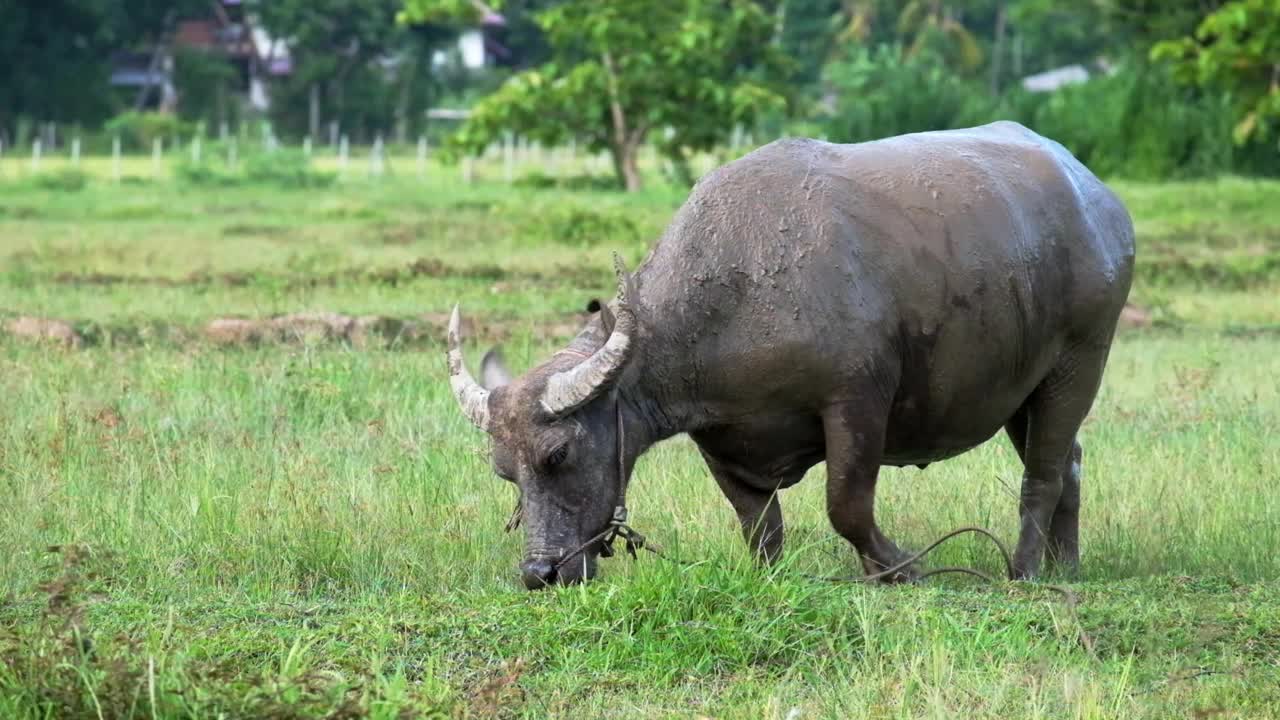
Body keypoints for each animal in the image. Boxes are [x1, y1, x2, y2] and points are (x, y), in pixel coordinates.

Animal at [445, 120, 1136, 586]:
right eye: (505, 470)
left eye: (559, 454)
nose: (540, 573)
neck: (731, 292)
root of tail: (1101, 203)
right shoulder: (718, 434)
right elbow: (759, 523)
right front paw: (773, 578)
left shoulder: (857, 399)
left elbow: (847, 507)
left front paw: (901, 571)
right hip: (1024, 387)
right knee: (1069, 460)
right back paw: (1067, 566)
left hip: (1080, 359)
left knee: (1043, 473)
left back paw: (1025, 570)